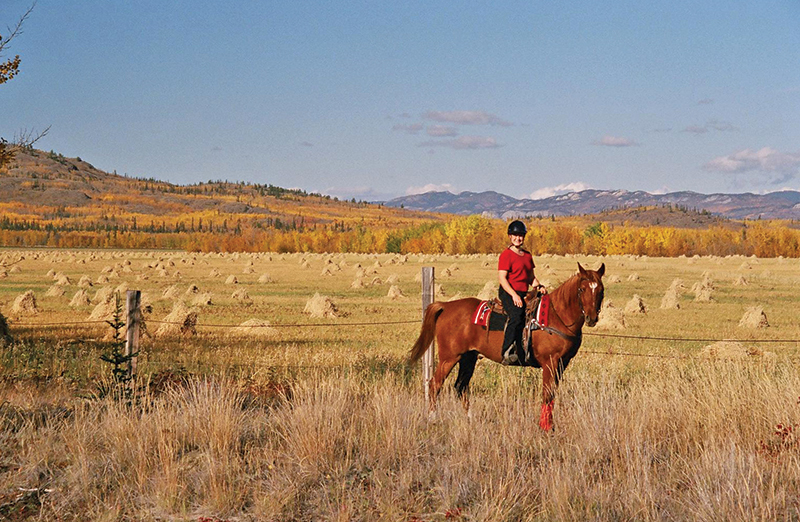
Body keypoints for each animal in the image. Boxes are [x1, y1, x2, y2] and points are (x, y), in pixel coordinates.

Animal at [408, 263, 605, 431]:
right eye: (582, 289)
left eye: (600, 290)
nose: (592, 318)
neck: (555, 316)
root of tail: (445, 306)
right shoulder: (550, 362)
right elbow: (547, 394)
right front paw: (545, 427)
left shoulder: (563, 363)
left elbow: (552, 395)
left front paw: (550, 426)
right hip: (449, 358)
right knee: (435, 384)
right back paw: (433, 419)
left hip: (468, 357)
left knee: (461, 386)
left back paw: (469, 419)